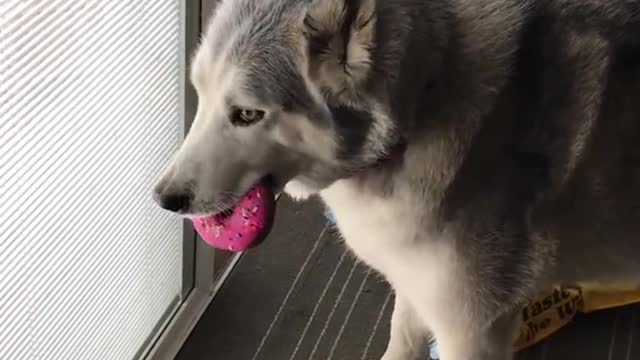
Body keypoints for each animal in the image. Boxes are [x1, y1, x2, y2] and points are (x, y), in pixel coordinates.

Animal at [154, 0, 640, 358]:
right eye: (199, 95)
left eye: (247, 115)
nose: (165, 199)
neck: (421, 105)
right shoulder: (413, 288)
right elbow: (401, 342)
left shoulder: (472, 331)